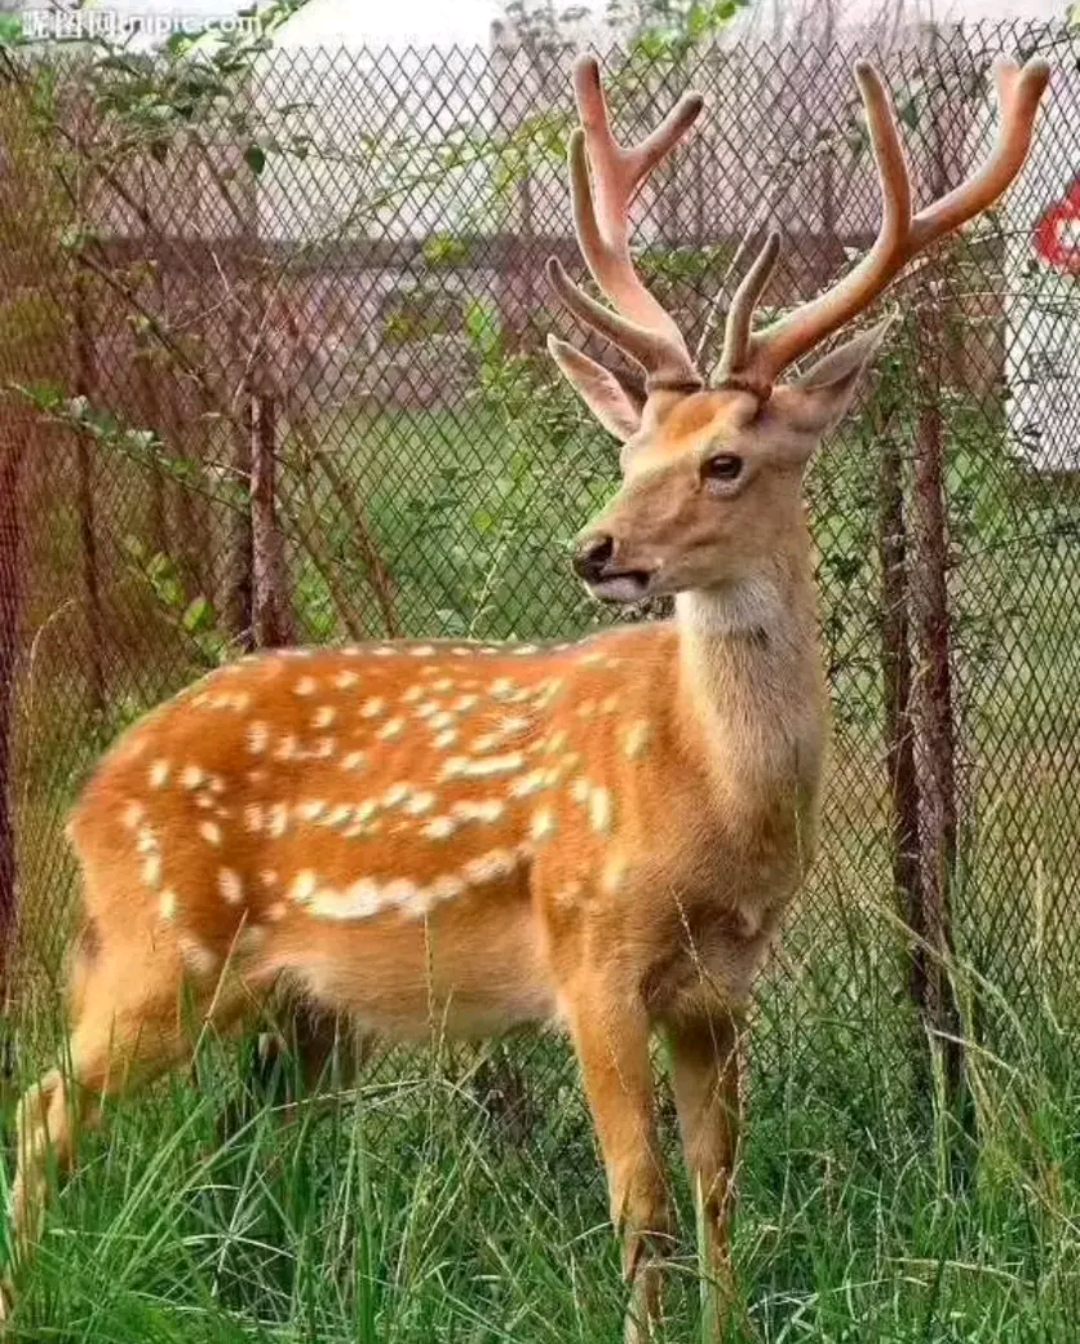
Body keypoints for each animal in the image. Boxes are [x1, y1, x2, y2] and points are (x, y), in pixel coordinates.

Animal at [0, 49, 1047, 1333]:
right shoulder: (588, 948)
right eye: (627, 453)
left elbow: (721, 1193)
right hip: (161, 945)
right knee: (44, 1110)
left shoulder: (723, 986)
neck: (712, 799)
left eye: (725, 460)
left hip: (301, 1009)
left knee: (244, 1148)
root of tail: (90, 795)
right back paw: (31, 1297)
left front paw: (730, 1325)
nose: (598, 550)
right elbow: (642, 1201)